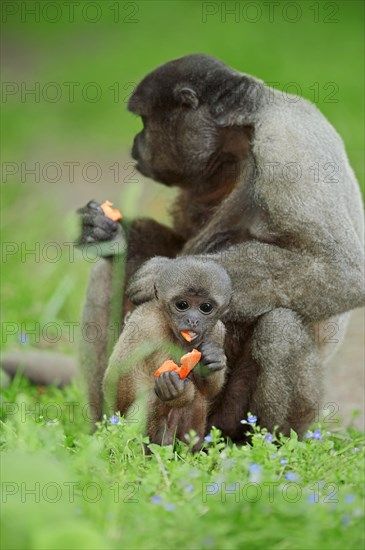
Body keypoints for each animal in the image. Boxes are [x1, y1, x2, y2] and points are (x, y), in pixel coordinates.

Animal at [104, 256, 232, 450]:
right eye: (182, 304)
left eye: (206, 307)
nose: (192, 320)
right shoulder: (146, 324)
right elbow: (115, 379)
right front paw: (172, 390)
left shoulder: (217, 331)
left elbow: (209, 390)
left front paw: (213, 358)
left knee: (197, 398)